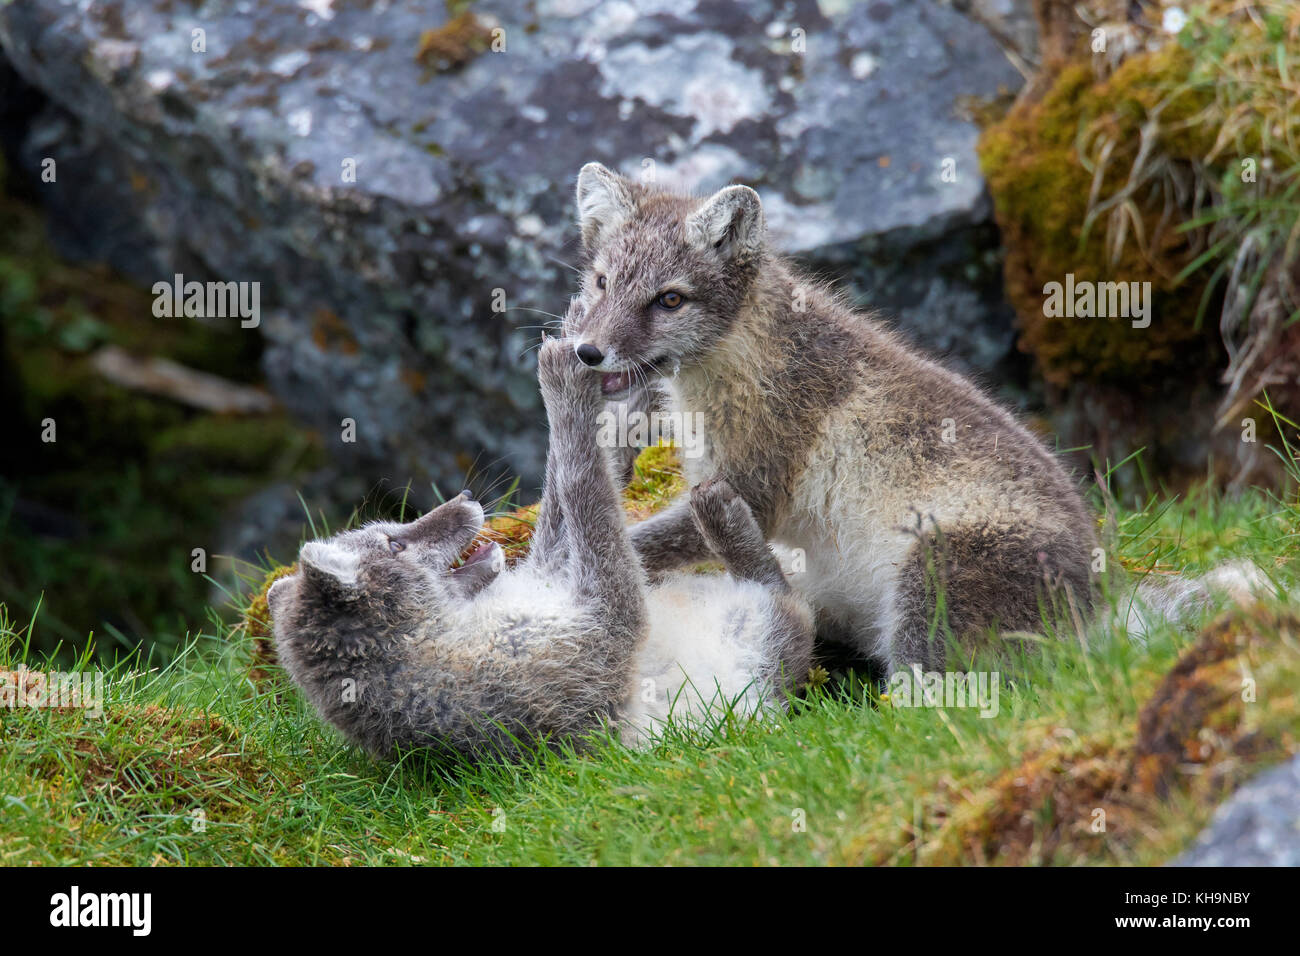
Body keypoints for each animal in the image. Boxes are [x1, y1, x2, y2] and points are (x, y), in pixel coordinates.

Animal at [266, 325, 811, 759]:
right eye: (394, 543)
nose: (467, 497)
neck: (451, 632)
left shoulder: (550, 575)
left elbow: (561, 493)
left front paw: (615, 411)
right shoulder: (602, 631)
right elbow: (582, 484)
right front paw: (563, 383)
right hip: (763, 633)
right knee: (786, 598)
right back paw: (720, 512)